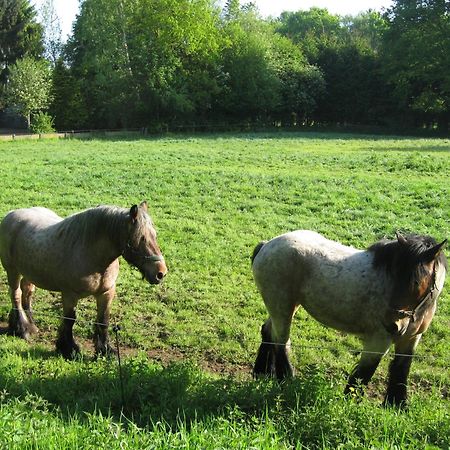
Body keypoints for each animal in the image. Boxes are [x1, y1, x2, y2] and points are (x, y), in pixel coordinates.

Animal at [0, 200, 167, 358]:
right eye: (140, 238)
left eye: (155, 235)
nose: (161, 273)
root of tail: (11, 214)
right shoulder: (69, 295)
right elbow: (69, 320)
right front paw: (69, 349)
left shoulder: (106, 293)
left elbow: (103, 320)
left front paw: (105, 350)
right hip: (13, 271)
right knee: (16, 295)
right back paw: (22, 329)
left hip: (29, 272)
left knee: (27, 292)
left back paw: (31, 324)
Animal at [253, 232, 446, 408]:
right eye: (393, 274)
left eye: (416, 282)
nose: (392, 324)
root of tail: (266, 246)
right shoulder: (378, 341)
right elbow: (363, 374)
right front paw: (349, 405)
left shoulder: (411, 339)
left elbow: (401, 369)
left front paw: (397, 406)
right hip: (282, 307)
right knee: (281, 342)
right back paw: (287, 380)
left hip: (285, 307)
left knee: (268, 331)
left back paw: (262, 373)